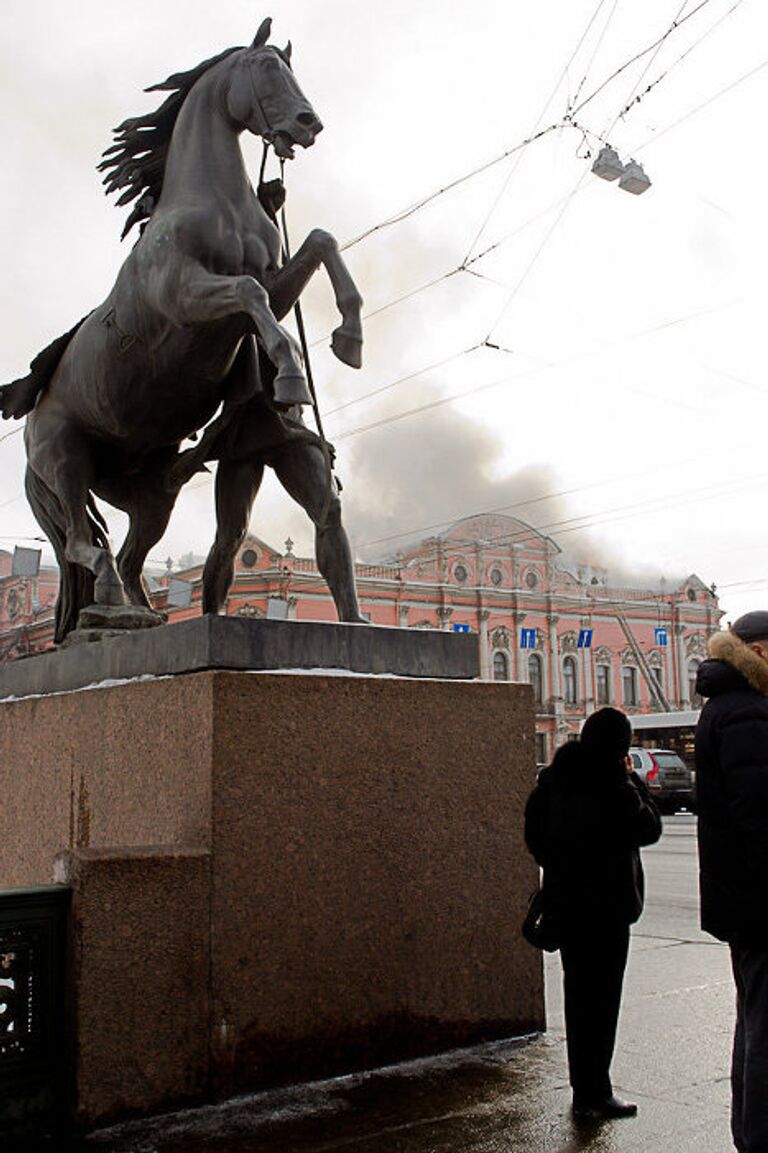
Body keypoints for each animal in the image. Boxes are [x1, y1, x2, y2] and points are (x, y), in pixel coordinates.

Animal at [1, 20, 364, 641]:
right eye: (266, 68)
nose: (307, 124)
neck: (212, 203)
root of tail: (28, 428)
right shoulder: (187, 297)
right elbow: (252, 297)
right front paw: (291, 375)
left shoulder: (268, 282)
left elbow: (318, 241)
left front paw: (349, 335)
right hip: (64, 460)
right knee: (81, 544)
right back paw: (112, 601)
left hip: (152, 498)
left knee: (126, 554)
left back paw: (137, 611)